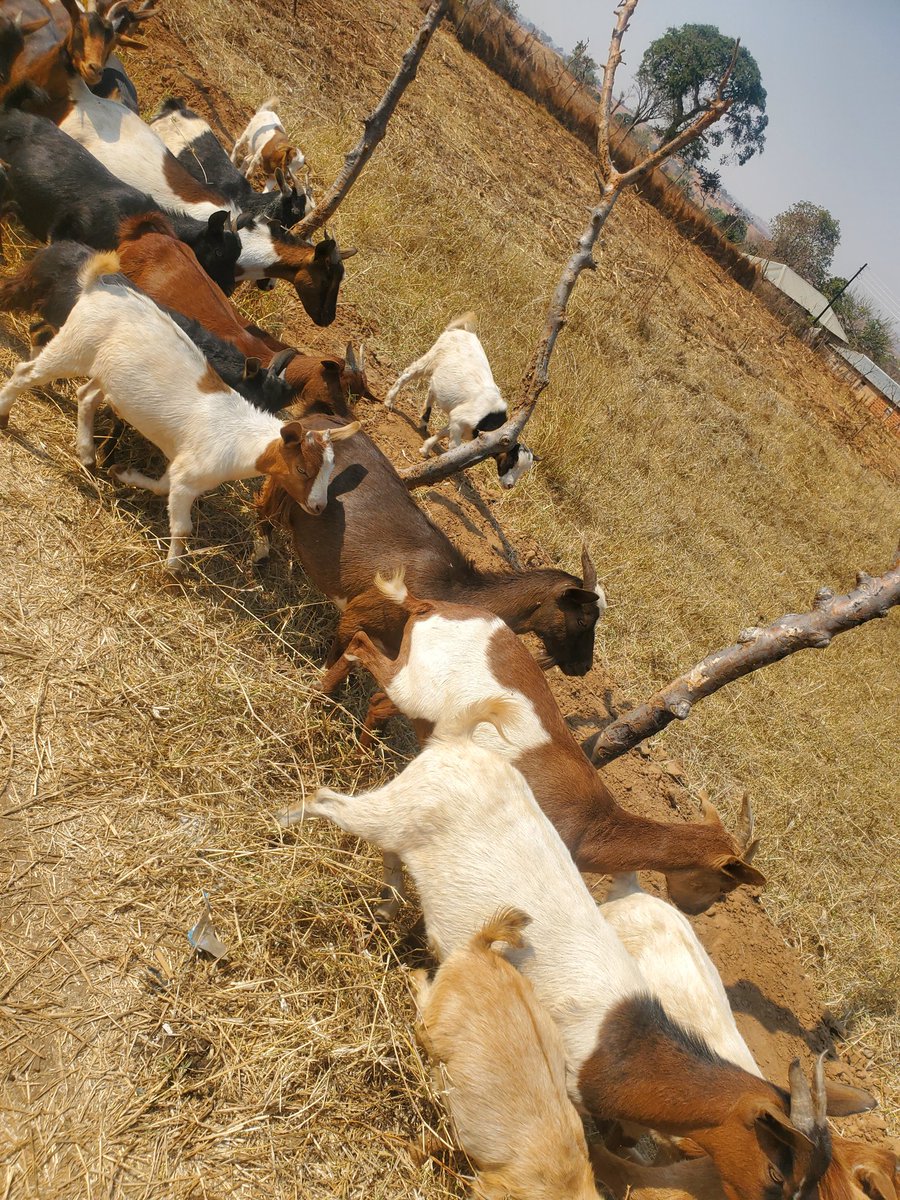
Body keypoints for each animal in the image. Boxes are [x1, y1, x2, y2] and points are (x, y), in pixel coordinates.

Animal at [0, 250, 360, 568]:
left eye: (330, 470)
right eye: (301, 469)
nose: (318, 506)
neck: (241, 438)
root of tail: (95, 284)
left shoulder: (181, 465)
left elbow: (163, 485)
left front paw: (122, 473)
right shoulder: (189, 476)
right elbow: (184, 527)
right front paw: (173, 569)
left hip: (105, 372)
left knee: (86, 395)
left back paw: (88, 454)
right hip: (73, 346)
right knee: (26, 373)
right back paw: (5, 416)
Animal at [256, 415, 604, 673]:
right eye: (583, 618)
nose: (584, 667)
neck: (450, 590)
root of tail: (313, 422)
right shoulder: (356, 616)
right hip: (282, 485)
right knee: (264, 510)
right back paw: (260, 563)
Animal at [317, 573, 762, 917]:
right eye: (726, 885)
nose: (695, 910)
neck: (593, 824)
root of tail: (428, 605)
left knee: (369, 680)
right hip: (411, 689)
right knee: (362, 652)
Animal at [384, 313, 534, 489]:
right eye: (511, 461)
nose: (509, 485)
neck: (489, 420)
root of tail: (464, 331)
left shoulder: (458, 421)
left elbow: (443, 432)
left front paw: (425, 449)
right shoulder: (459, 419)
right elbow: (454, 447)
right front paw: (446, 466)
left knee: (431, 389)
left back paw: (423, 421)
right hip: (431, 358)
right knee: (408, 373)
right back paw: (389, 401)